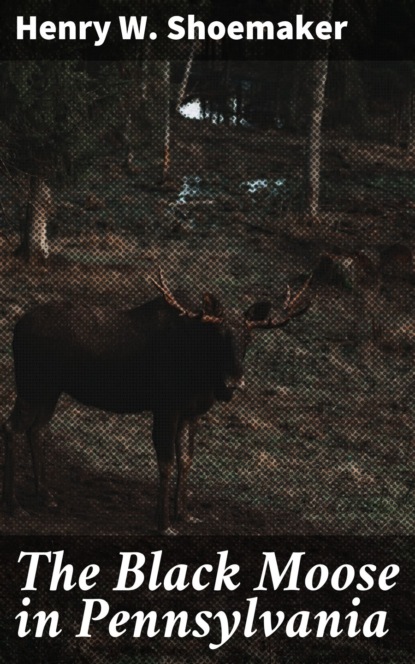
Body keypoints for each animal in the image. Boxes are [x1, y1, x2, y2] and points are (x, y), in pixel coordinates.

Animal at [1, 270, 311, 534]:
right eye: (219, 336)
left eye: (248, 337)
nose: (233, 382)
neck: (202, 374)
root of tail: (17, 328)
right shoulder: (166, 407)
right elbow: (167, 462)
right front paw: (163, 523)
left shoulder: (191, 412)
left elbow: (186, 459)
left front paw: (184, 513)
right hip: (32, 385)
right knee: (12, 427)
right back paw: (14, 505)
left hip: (51, 390)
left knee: (37, 430)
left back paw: (46, 496)